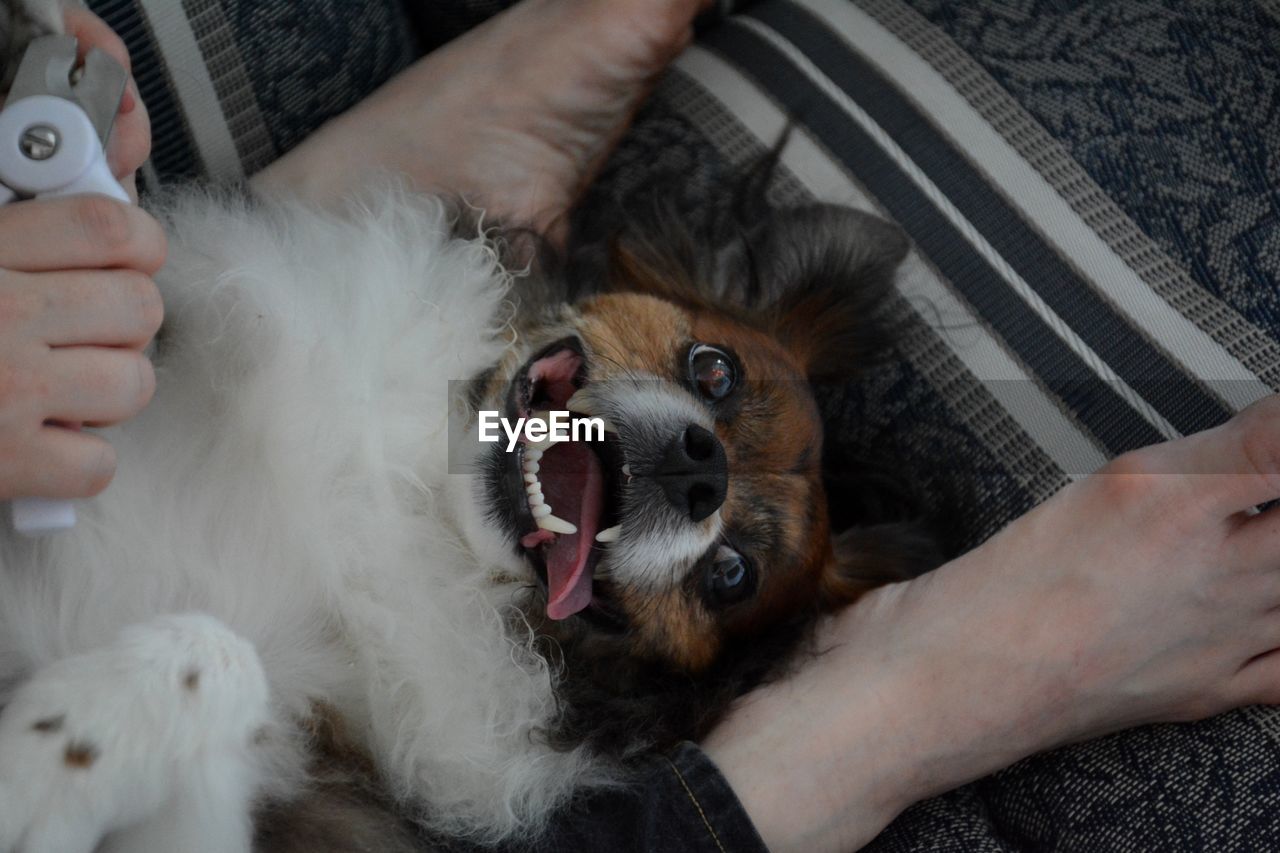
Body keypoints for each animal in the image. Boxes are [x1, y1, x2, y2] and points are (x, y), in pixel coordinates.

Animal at [0, 6, 942, 850]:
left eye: (732, 575)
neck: (409, 495)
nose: (698, 468)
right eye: (715, 369)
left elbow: (219, 650)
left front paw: (56, 747)